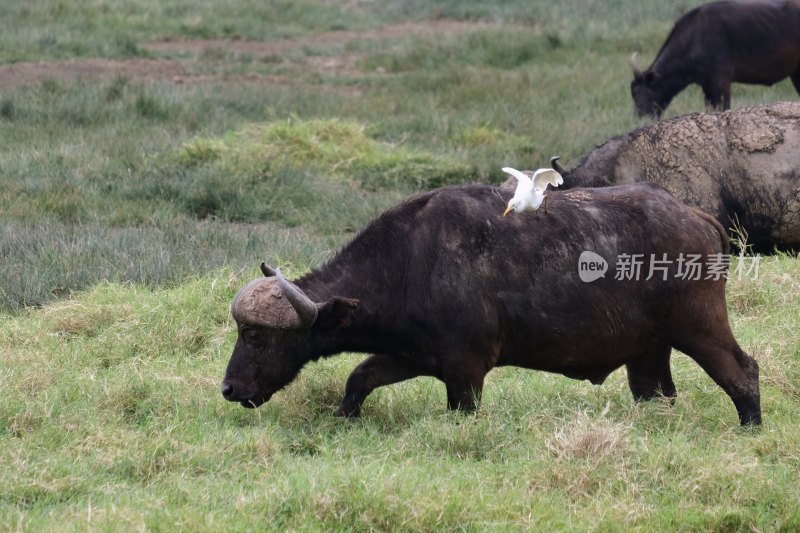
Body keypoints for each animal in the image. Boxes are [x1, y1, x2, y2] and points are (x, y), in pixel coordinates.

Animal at [223, 183, 764, 424]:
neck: (411, 262)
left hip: (699, 326)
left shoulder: (467, 372)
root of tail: (697, 216)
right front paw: (344, 418)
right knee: (656, 394)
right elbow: (360, 377)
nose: (229, 389)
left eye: (255, 336)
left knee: (743, 372)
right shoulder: (416, 355)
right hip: (649, 353)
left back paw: (750, 427)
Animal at [632, 0, 800, 117]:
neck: (692, 39)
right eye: (633, 93)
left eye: (643, 91)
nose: (640, 116)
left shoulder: (721, 82)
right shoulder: (706, 86)